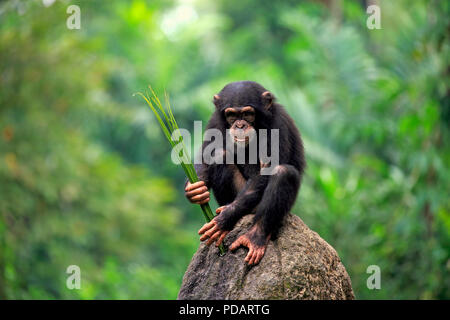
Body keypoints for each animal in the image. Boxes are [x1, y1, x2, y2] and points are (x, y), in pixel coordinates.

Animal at [184, 81, 306, 266]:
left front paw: (224, 219)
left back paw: (254, 237)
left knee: (284, 173)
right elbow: (207, 152)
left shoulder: (279, 123)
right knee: (220, 154)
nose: (240, 125)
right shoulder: (215, 121)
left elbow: (269, 169)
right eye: (231, 115)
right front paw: (195, 189)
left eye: (248, 113)